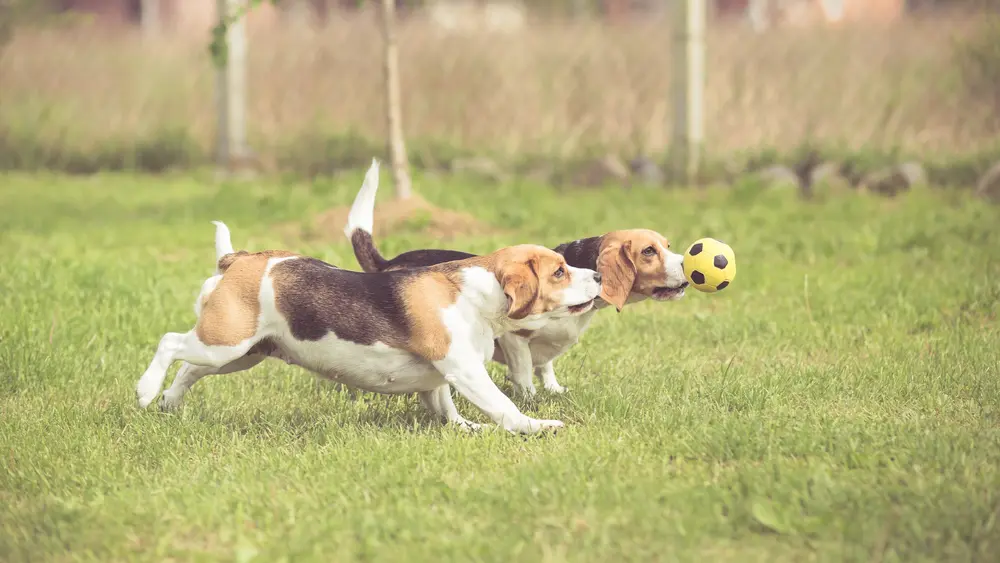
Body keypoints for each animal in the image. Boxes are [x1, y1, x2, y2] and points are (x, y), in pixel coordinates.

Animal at [133, 161, 600, 434]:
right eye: (559, 271)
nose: (596, 275)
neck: (476, 293)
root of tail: (239, 258)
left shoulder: (440, 378)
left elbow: (446, 408)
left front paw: (465, 427)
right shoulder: (464, 369)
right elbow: (503, 405)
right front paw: (535, 425)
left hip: (238, 352)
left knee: (188, 370)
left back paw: (168, 404)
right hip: (225, 343)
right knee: (170, 343)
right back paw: (145, 390)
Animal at [344, 160, 688, 396]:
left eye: (668, 246)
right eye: (648, 251)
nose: (687, 265)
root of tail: (388, 263)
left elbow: (545, 366)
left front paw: (553, 390)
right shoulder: (516, 338)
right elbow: (523, 372)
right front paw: (530, 398)